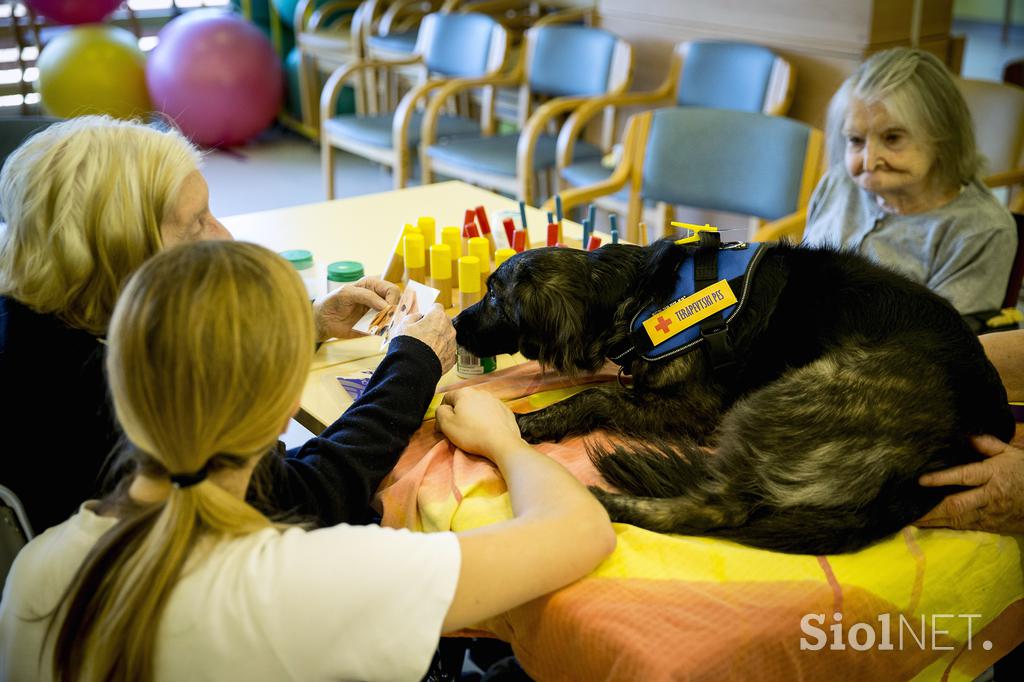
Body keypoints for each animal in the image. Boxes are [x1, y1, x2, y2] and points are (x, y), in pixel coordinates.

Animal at [456, 238, 1015, 552]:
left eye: (492, 294)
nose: (458, 323)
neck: (635, 294)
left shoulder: (699, 408)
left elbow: (596, 396)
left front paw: (532, 421)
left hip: (787, 396)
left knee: (719, 509)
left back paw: (607, 503)